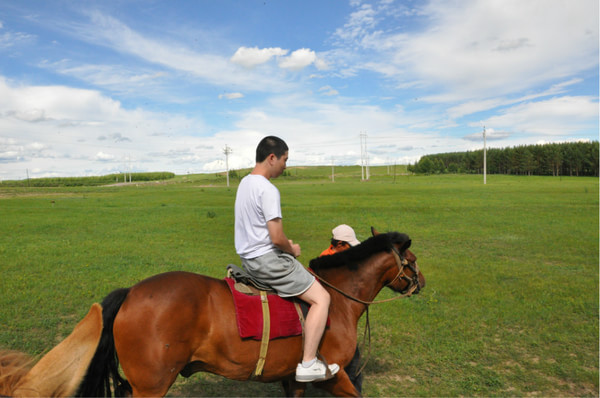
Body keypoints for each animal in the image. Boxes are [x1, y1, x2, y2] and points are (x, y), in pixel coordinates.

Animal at [78, 230, 426, 398]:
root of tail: (131, 292)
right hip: (150, 388)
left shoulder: (293, 378)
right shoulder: (332, 376)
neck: (337, 298)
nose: (421, 282)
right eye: (412, 259)